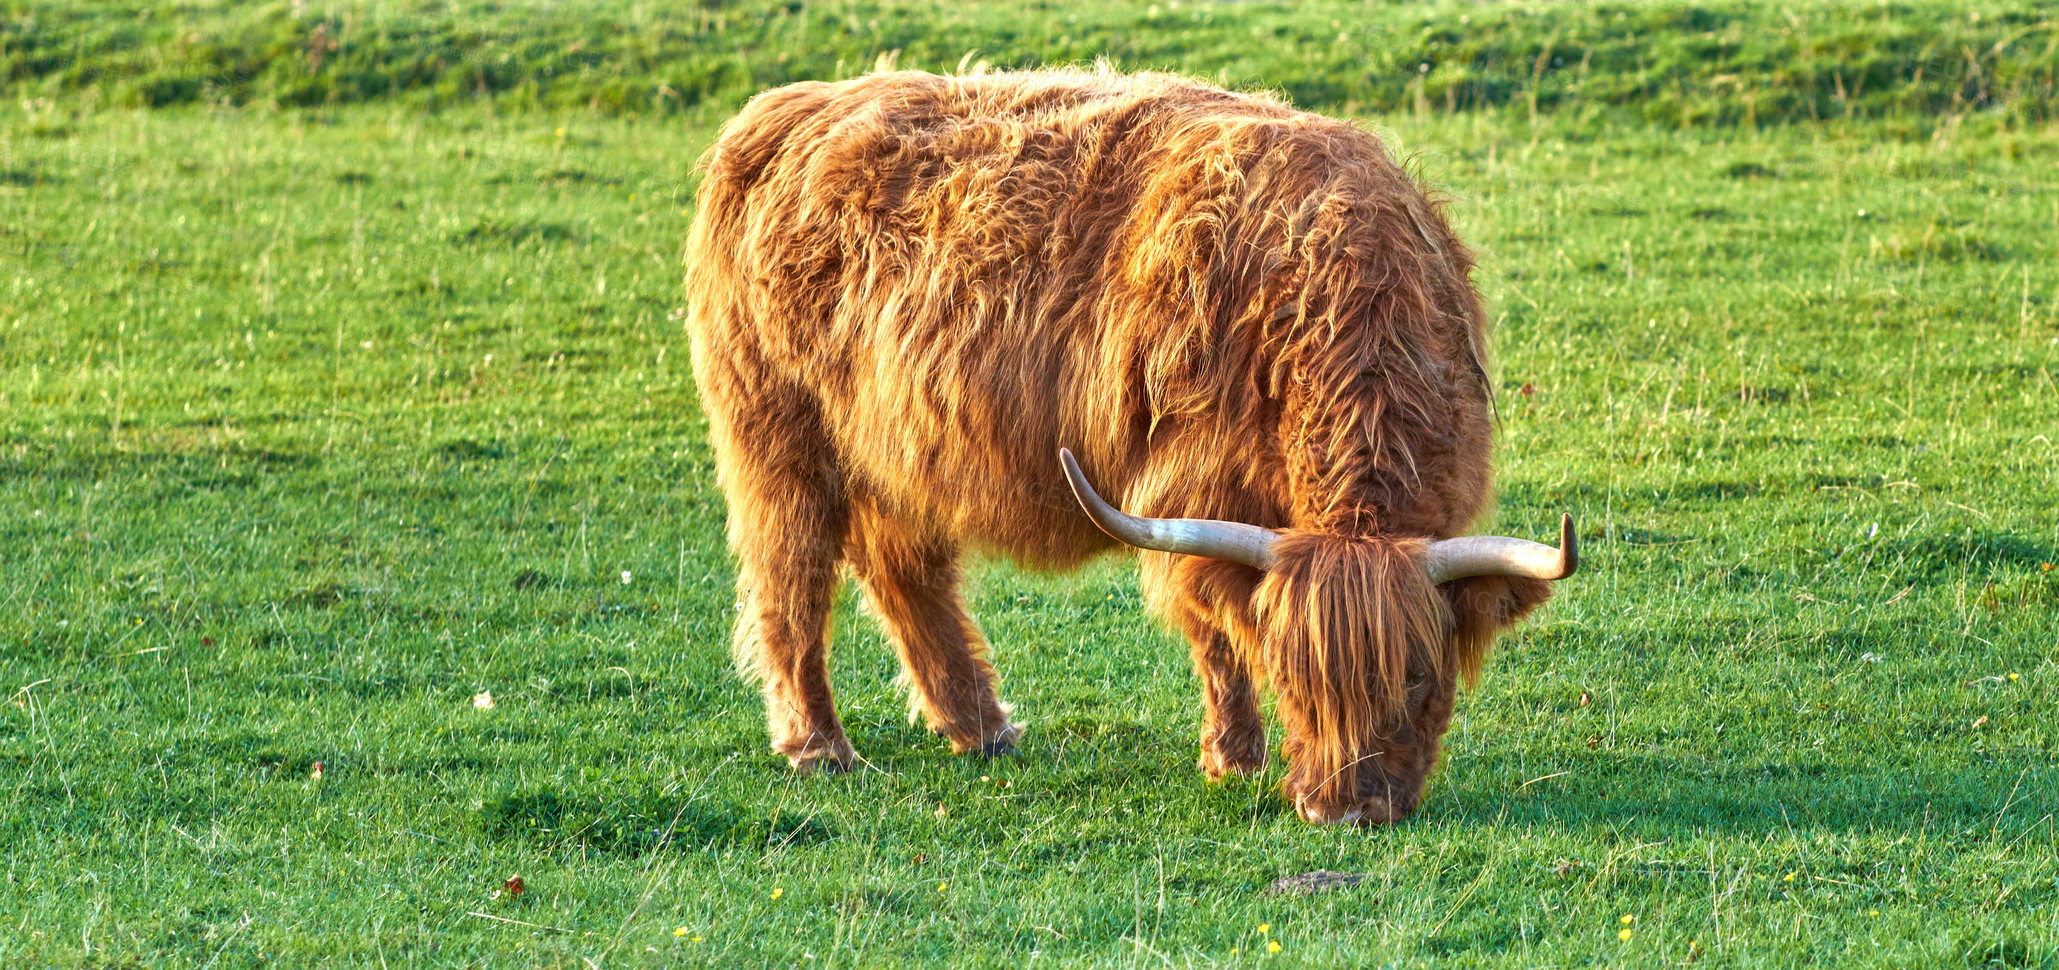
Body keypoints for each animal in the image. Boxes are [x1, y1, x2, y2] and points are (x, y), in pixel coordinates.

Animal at [687, 70, 1573, 827]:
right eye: (1293, 674)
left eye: (1417, 675)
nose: (1339, 809)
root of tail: (786, 109)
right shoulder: (1195, 489)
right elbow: (1213, 629)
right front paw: (1233, 758)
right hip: (776, 435)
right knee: (791, 580)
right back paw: (820, 748)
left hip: (899, 448)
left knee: (904, 570)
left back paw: (980, 728)